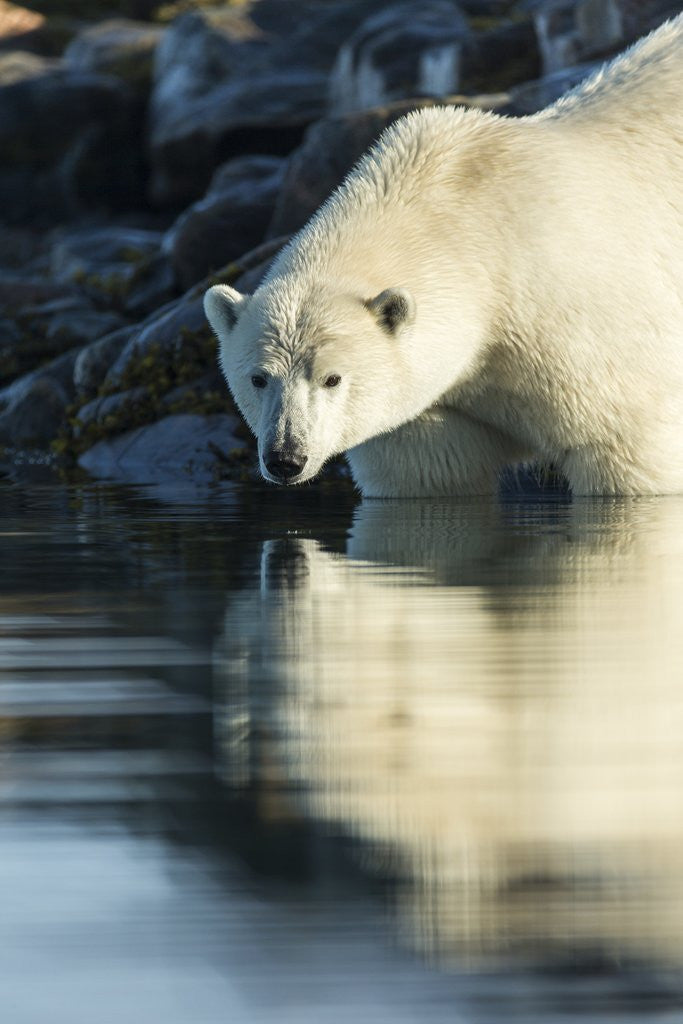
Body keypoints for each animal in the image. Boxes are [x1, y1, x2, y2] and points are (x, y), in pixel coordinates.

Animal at [204, 15, 683, 497]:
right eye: (258, 377)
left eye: (332, 377)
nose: (286, 458)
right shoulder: (435, 409)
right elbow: (431, 472)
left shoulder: (583, 331)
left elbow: (623, 450)